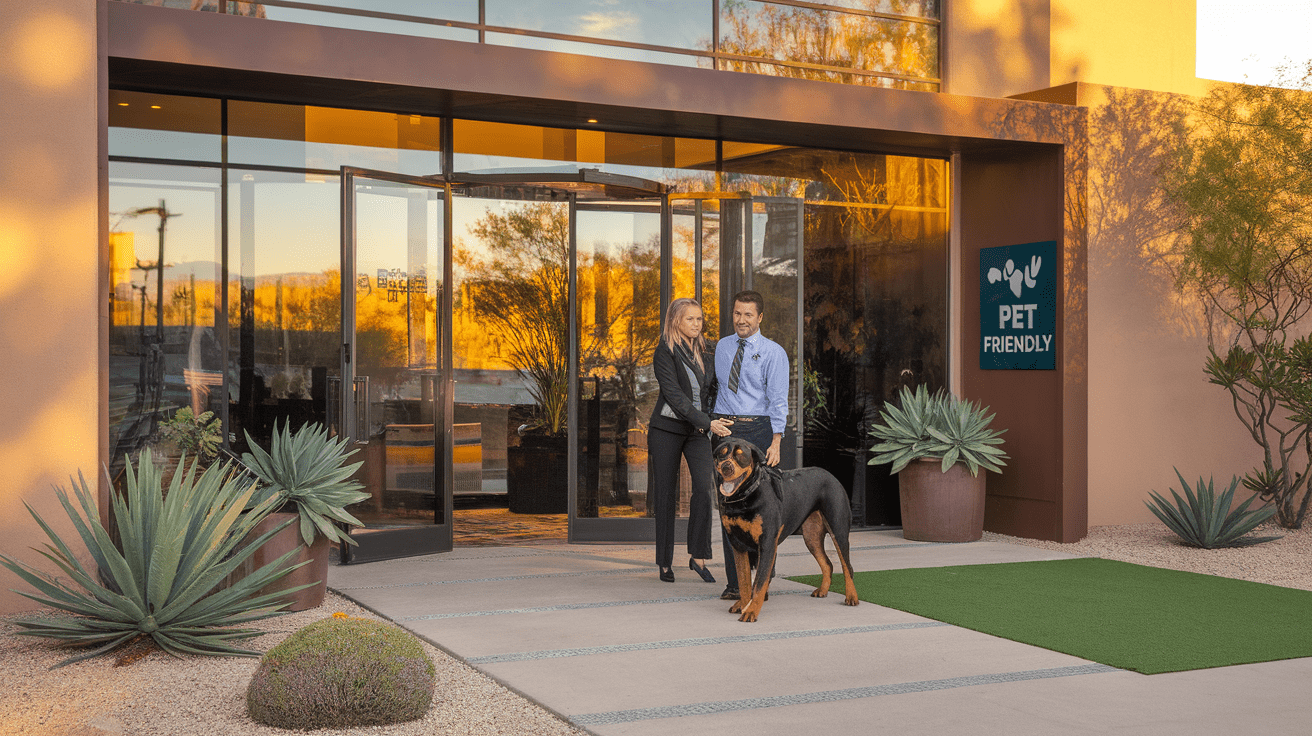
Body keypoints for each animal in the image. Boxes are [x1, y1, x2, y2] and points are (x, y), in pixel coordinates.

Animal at [713, 435, 855, 619]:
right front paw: (743, 605)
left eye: (741, 456)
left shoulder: (767, 544)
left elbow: (759, 582)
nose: (726, 467)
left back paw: (852, 597)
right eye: (721, 455)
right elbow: (744, 581)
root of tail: (830, 475)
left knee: (847, 566)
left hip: (838, 529)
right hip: (811, 537)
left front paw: (751, 611)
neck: (745, 496)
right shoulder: (738, 545)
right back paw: (823, 590)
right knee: (828, 563)